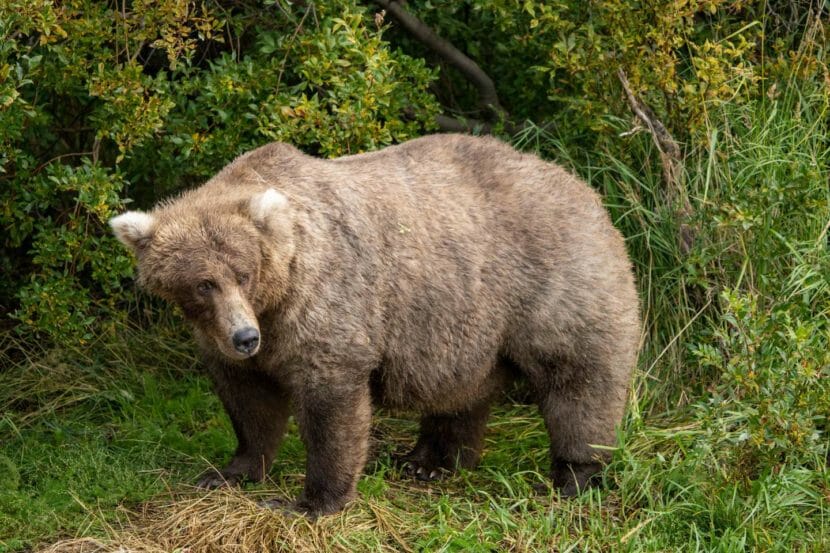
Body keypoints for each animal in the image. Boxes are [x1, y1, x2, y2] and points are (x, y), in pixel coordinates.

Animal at [110, 132, 644, 516]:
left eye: (242, 272)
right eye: (203, 284)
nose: (245, 338)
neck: (276, 298)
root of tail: (586, 189)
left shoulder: (326, 305)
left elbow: (331, 402)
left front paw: (309, 502)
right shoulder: (231, 338)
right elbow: (249, 400)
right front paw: (229, 471)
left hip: (552, 283)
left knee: (577, 379)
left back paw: (575, 476)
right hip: (466, 317)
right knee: (462, 390)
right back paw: (429, 462)